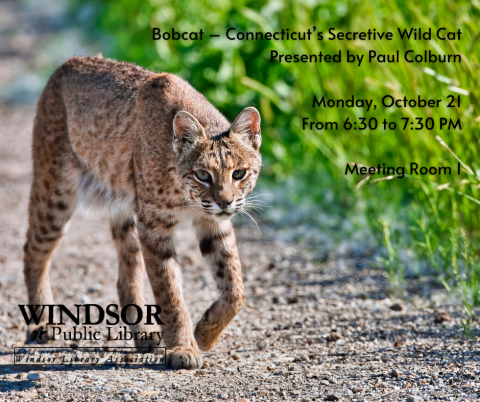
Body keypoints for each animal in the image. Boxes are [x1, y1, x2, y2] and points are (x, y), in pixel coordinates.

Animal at [23, 55, 262, 370]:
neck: (188, 197)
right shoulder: (154, 226)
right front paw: (184, 347)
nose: (225, 202)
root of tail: (68, 63)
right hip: (55, 190)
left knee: (125, 274)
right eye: (202, 175)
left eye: (239, 174)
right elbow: (169, 291)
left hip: (124, 207)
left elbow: (236, 289)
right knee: (32, 248)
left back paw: (144, 332)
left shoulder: (212, 222)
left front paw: (204, 334)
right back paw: (41, 323)